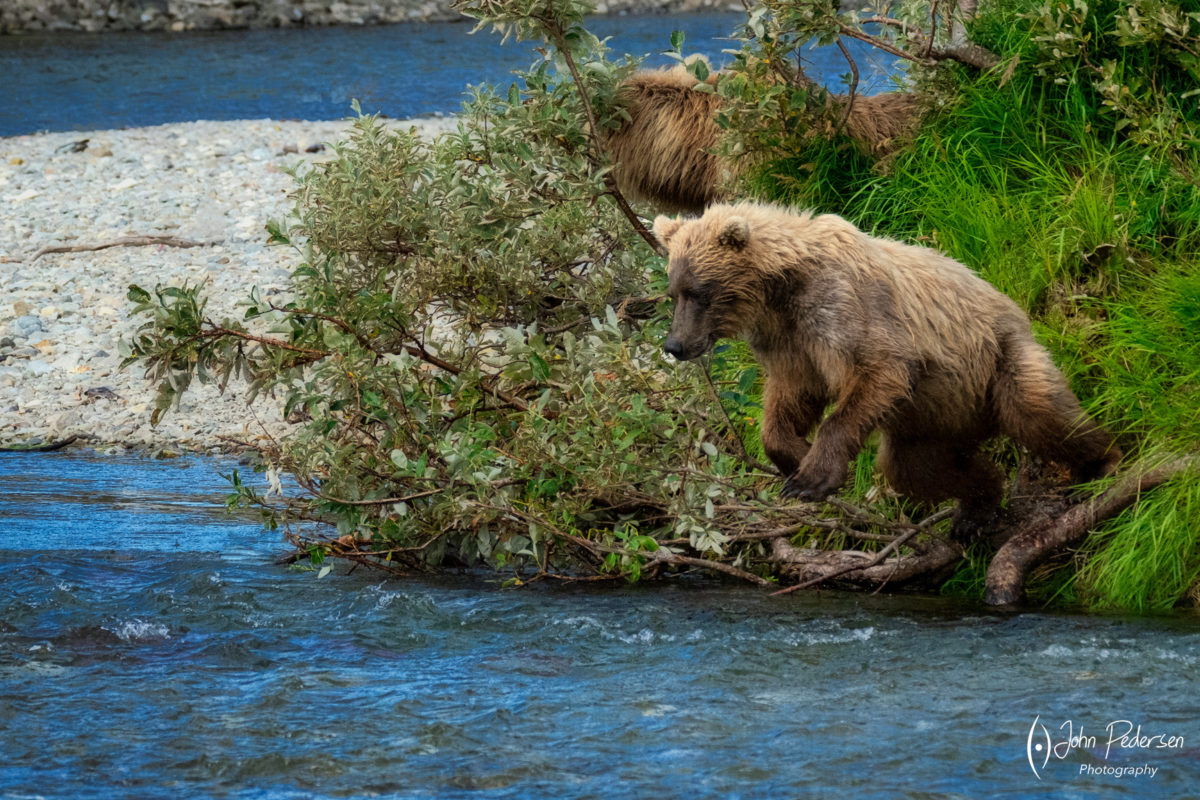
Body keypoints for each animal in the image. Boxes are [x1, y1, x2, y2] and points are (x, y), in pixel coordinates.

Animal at [653, 203, 1121, 536]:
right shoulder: (789, 344)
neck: (781, 290)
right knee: (917, 470)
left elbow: (878, 370)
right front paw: (796, 457)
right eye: (673, 292)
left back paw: (1101, 462)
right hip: (931, 421)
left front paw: (813, 476)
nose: (674, 345)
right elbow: (790, 402)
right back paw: (977, 506)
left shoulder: (844, 311)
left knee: (1038, 411)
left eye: (698, 292)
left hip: (995, 361)